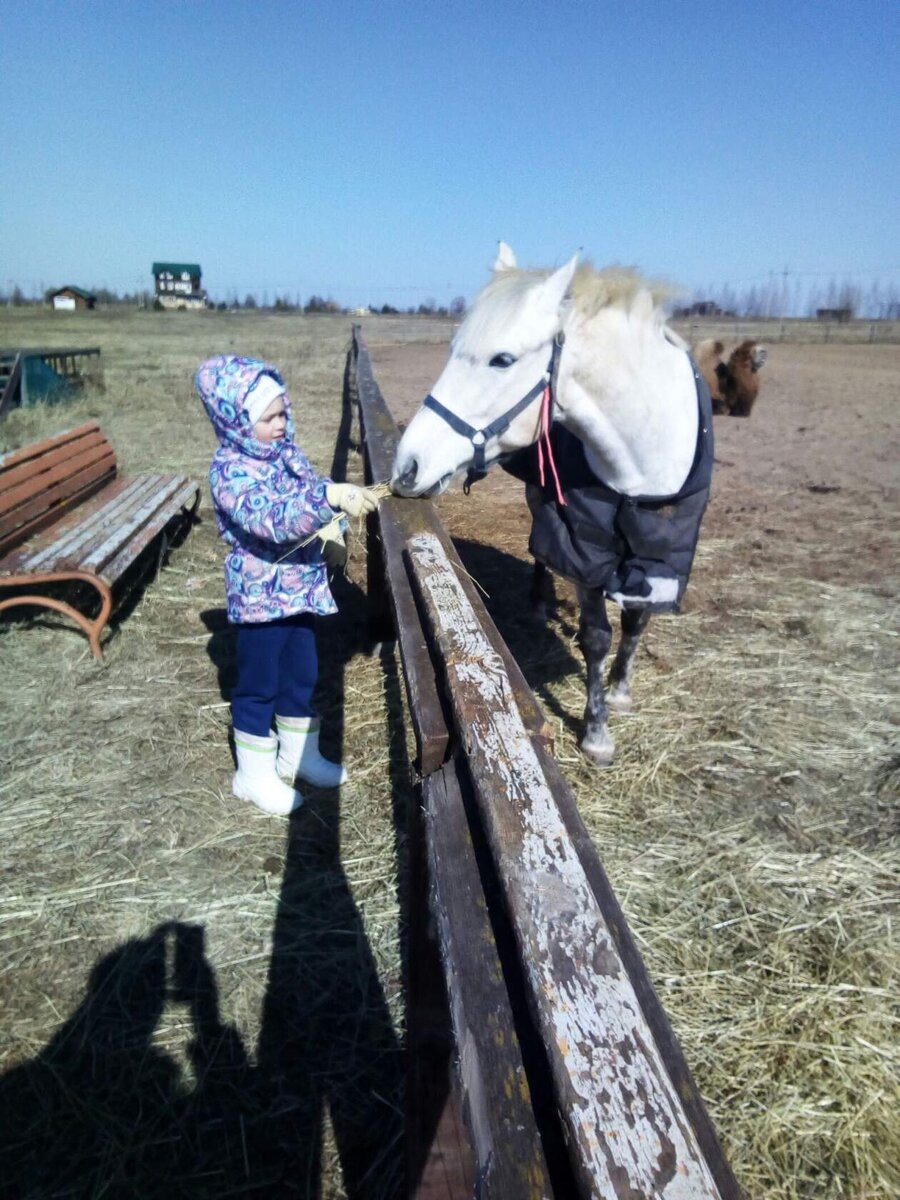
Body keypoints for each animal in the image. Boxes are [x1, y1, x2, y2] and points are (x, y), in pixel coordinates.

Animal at [393, 244, 710, 763]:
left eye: (502, 359)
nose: (406, 466)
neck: (642, 463)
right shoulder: (586, 547)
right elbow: (597, 636)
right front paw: (597, 732)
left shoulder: (665, 548)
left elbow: (637, 619)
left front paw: (621, 691)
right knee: (539, 543)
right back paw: (539, 601)